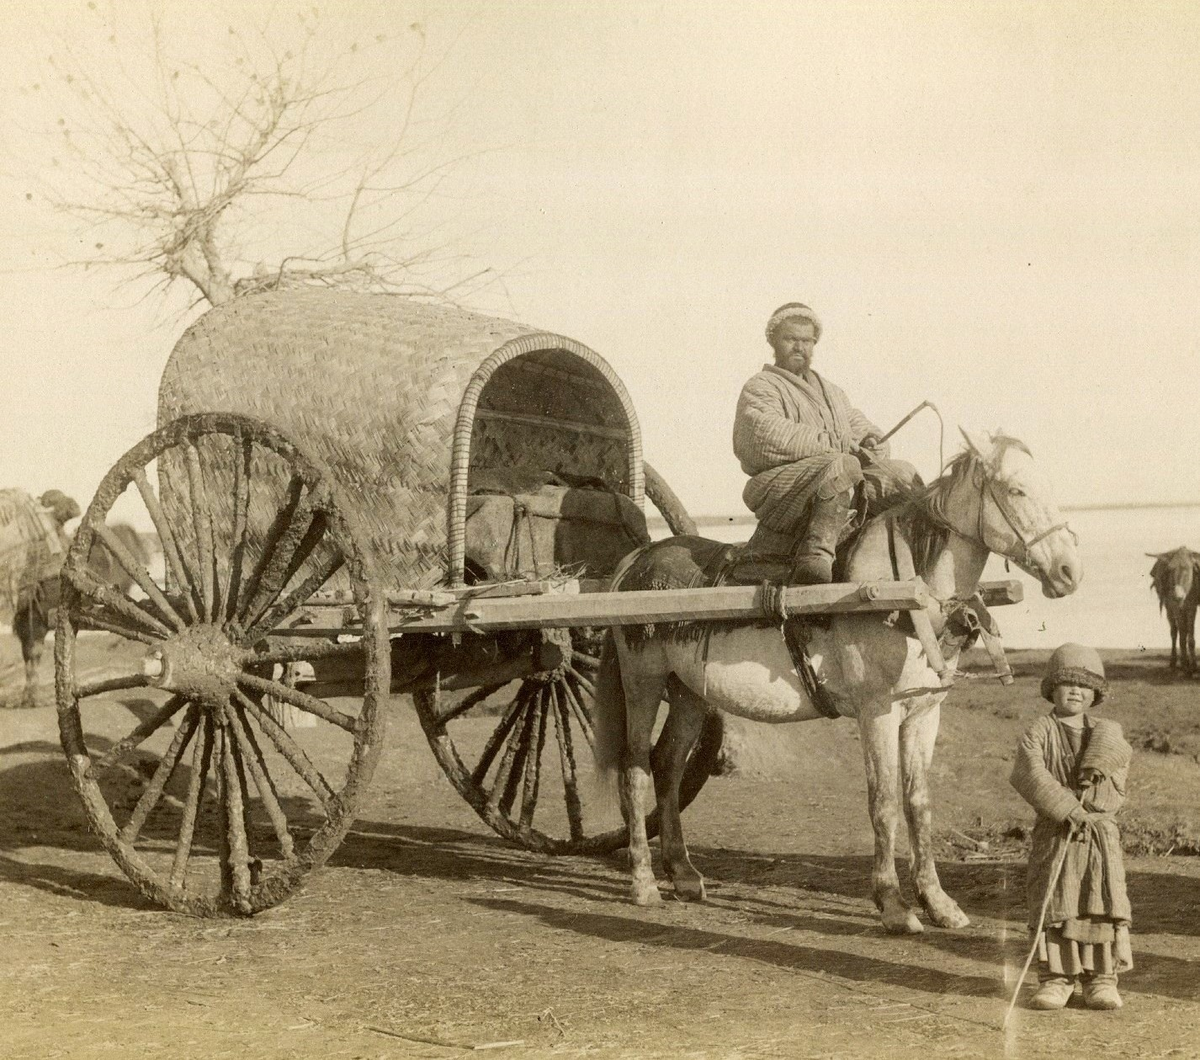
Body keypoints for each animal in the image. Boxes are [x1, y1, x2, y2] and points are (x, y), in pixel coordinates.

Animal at [595, 432, 1084, 936]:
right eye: (1015, 491)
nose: (1070, 572)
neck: (905, 592)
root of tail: (637, 561)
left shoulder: (924, 713)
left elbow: (919, 802)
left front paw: (938, 901)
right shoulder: (877, 712)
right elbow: (884, 801)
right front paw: (892, 904)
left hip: (690, 693)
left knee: (669, 766)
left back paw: (684, 873)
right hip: (643, 682)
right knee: (635, 768)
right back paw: (643, 881)